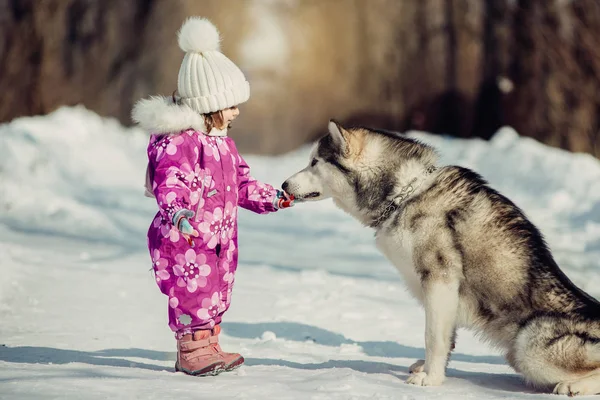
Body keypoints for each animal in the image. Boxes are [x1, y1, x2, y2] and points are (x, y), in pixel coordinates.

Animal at [284, 120, 600, 396]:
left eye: (315, 162)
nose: (285, 184)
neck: (404, 195)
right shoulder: (442, 294)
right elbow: (446, 338)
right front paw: (429, 370)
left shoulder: (439, 279)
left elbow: (433, 338)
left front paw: (431, 380)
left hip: (528, 347)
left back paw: (574, 386)